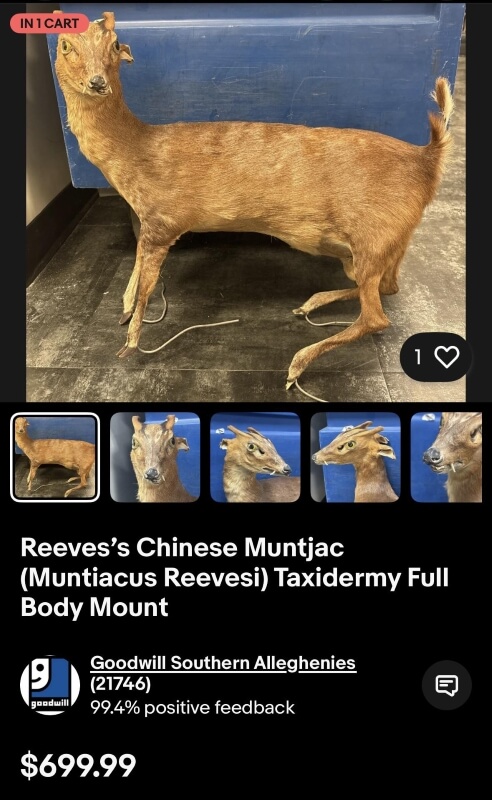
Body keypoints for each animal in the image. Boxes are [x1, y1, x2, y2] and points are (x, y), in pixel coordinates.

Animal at [54, 11, 454, 391]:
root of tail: (427, 159)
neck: (136, 151)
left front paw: (129, 343)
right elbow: (135, 272)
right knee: (388, 287)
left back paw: (296, 364)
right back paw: (311, 303)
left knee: (376, 316)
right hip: (388, 241)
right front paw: (122, 311)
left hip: (374, 235)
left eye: (114, 43)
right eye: (65, 44)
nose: (97, 82)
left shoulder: (163, 220)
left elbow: (146, 287)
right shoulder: (151, 223)